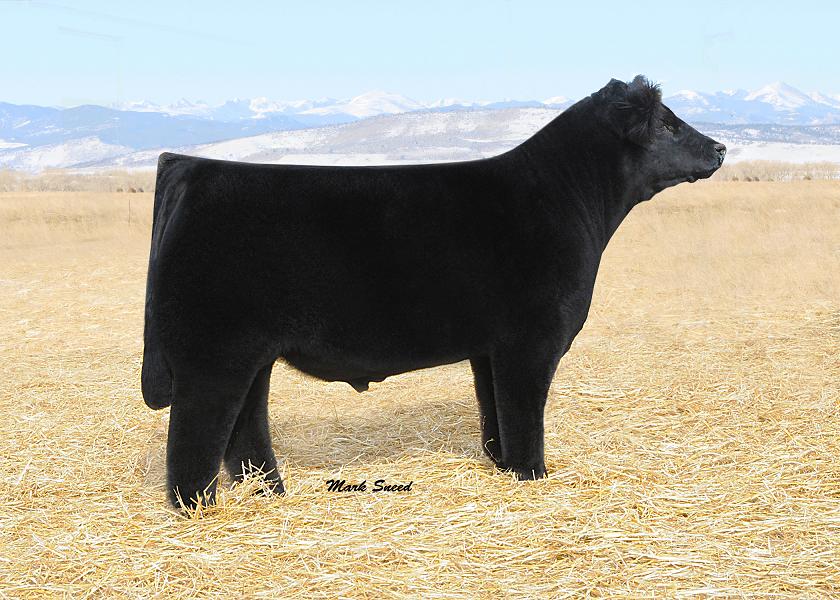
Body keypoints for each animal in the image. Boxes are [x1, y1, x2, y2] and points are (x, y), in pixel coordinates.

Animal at [141, 75, 726, 509]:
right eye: (669, 124)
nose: (720, 147)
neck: (566, 198)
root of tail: (193, 165)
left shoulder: (490, 349)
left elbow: (495, 413)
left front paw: (503, 465)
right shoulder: (532, 341)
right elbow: (524, 414)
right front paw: (533, 475)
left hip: (252, 355)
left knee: (245, 425)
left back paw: (271, 493)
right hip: (213, 354)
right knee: (195, 435)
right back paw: (199, 508)